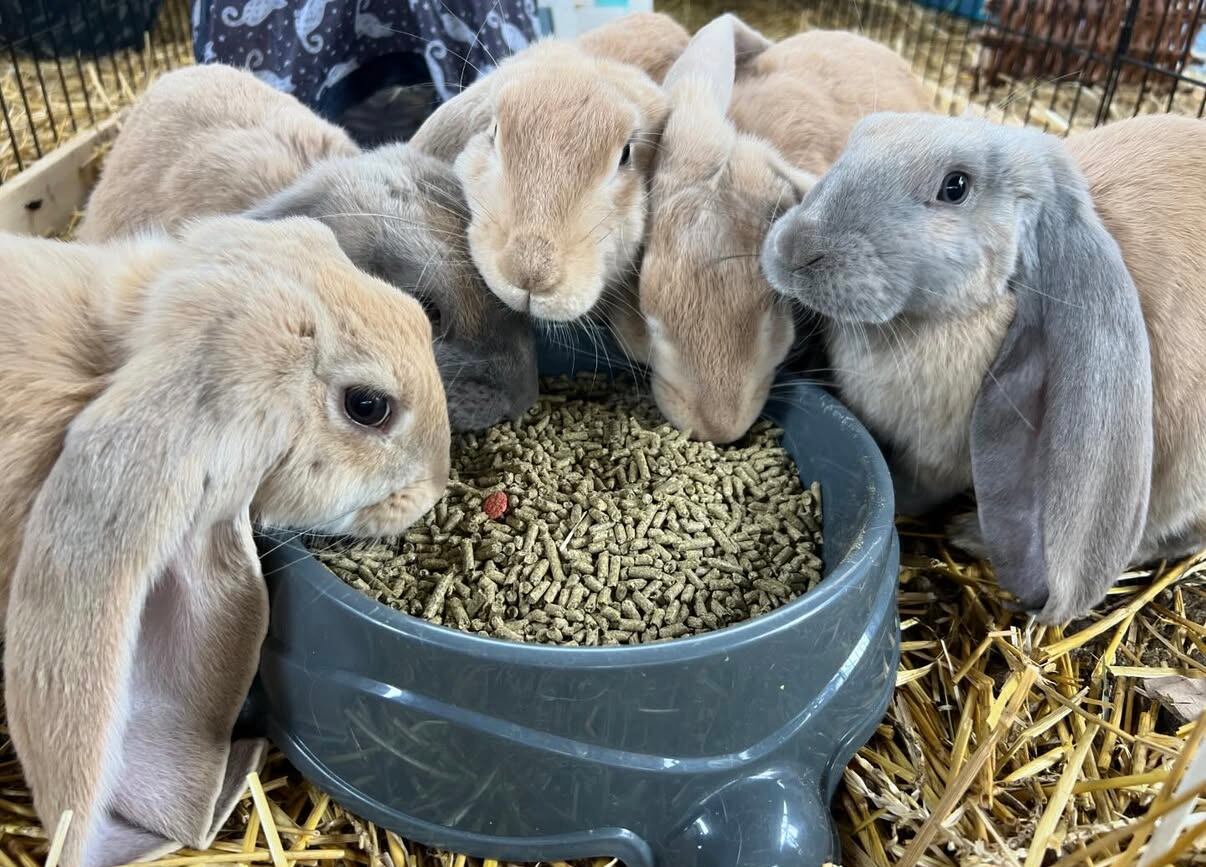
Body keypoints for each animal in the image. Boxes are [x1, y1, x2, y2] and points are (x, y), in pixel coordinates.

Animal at [761, 111, 1206, 623]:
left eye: (955, 187)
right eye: (856, 140)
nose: (796, 250)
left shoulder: (937, 460)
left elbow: (913, 488)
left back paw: (969, 533)